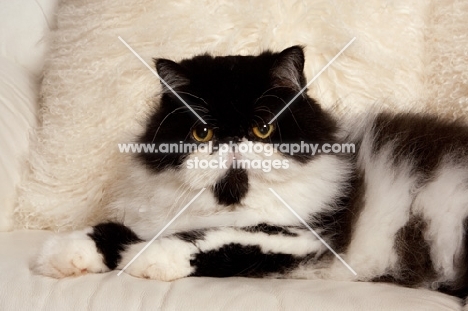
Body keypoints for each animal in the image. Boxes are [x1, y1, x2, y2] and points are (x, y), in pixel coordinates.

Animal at [33, 47, 468, 302]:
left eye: (261, 129)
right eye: (203, 133)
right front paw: (61, 255)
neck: (232, 200)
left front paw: (146, 259)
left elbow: (215, 240)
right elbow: (111, 231)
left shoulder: (304, 238)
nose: (231, 139)